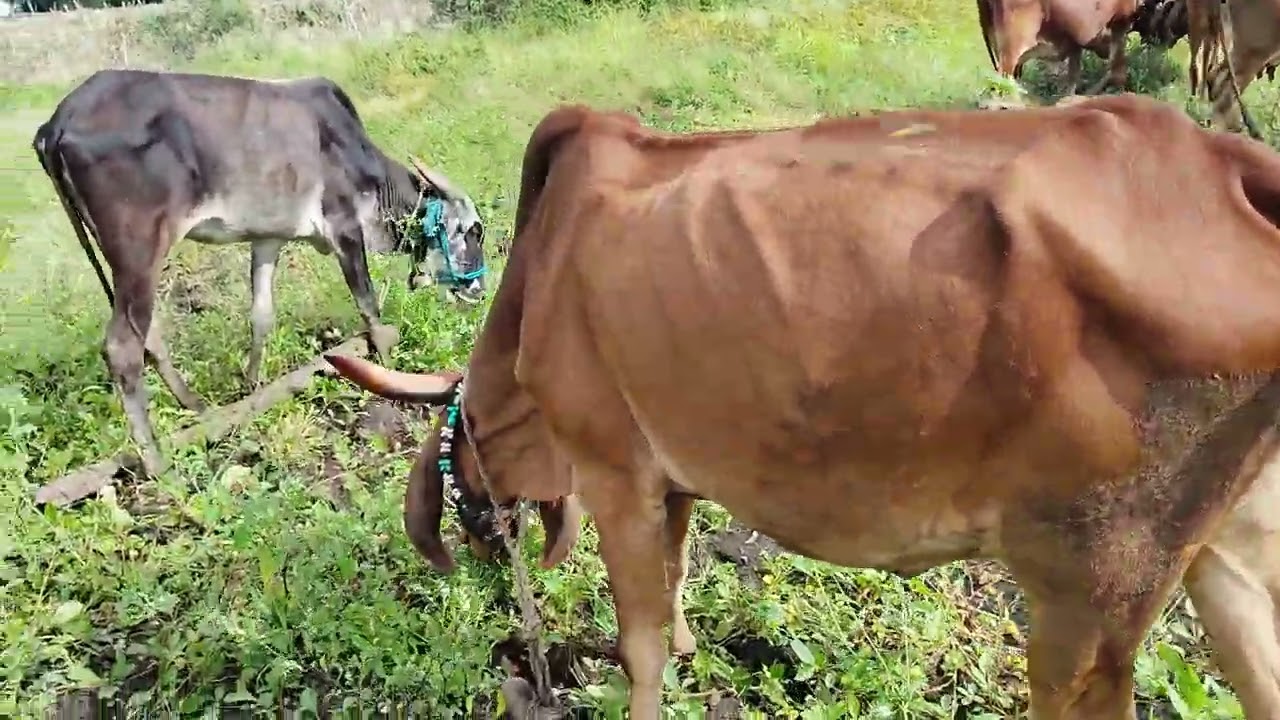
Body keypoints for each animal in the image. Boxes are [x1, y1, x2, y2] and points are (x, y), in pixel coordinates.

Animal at [32, 68, 488, 479]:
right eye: (471, 231)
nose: (479, 290)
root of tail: (58, 121)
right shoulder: (344, 229)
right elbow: (369, 305)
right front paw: (391, 366)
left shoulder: (268, 239)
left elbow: (261, 314)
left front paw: (251, 385)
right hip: (141, 249)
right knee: (123, 347)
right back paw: (157, 463)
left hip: (127, 262)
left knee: (147, 335)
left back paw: (196, 406)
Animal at [326, 94, 1280, 718]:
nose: (489, 547)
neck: (538, 284)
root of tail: (1226, 165)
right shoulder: (672, 475)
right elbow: (675, 586)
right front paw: (690, 645)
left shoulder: (613, 471)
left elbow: (639, 645)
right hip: (1223, 552)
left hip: (1089, 595)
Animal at [977, 0, 1141, 97]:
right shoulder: (1119, 28)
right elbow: (1117, 69)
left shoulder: (1074, 43)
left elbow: (1073, 79)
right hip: (1011, 47)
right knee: (1002, 83)